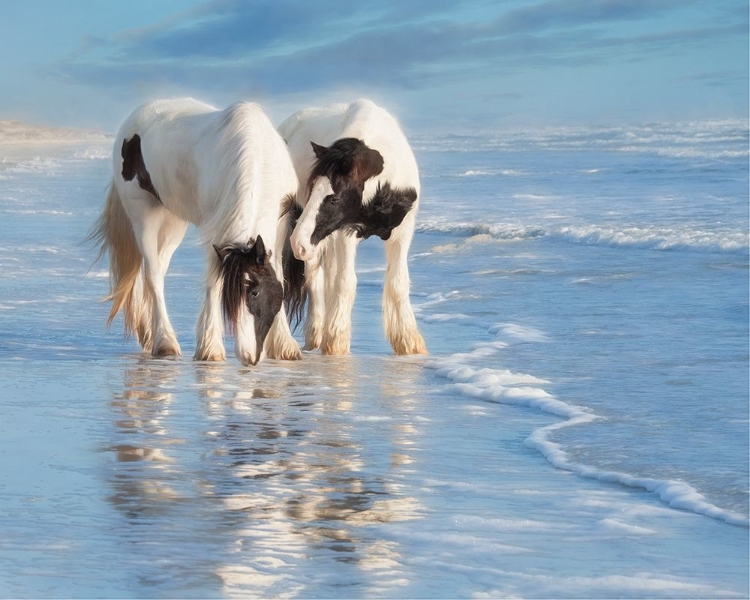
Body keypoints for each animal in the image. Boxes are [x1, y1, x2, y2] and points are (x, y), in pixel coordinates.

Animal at [88, 98, 300, 366]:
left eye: (255, 292)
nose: (248, 356)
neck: (258, 156)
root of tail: (135, 118)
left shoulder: (280, 222)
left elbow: (279, 273)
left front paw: (285, 346)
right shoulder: (216, 228)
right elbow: (213, 281)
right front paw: (210, 348)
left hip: (173, 222)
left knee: (156, 269)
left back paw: (150, 333)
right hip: (143, 215)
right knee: (153, 274)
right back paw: (164, 341)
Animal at [280, 96, 428, 354]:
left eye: (334, 198)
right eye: (311, 190)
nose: (298, 243)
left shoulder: (402, 232)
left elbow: (398, 282)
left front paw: (409, 342)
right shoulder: (345, 232)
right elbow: (345, 282)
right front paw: (336, 342)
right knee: (314, 276)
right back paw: (316, 334)